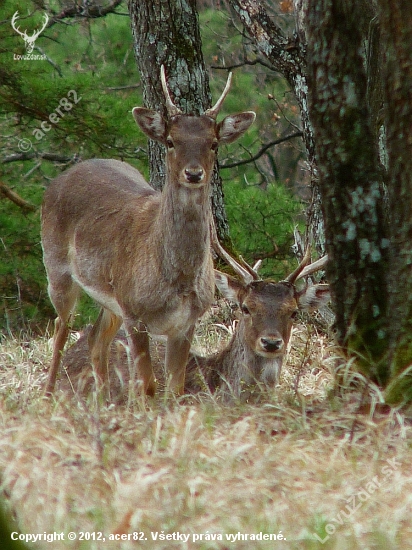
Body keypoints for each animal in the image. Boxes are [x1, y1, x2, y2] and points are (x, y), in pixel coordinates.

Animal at [41, 67, 254, 398]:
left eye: (214, 143)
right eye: (170, 141)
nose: (194, 173)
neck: (176, 279)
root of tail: (62, 177)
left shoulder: (186, 321)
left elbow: (175, 387)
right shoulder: (136, 313)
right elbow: (149, 386)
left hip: (111, 298)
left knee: (95, 339)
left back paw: (103, 400)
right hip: (57, 267)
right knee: (60, 333)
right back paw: (49, 395)